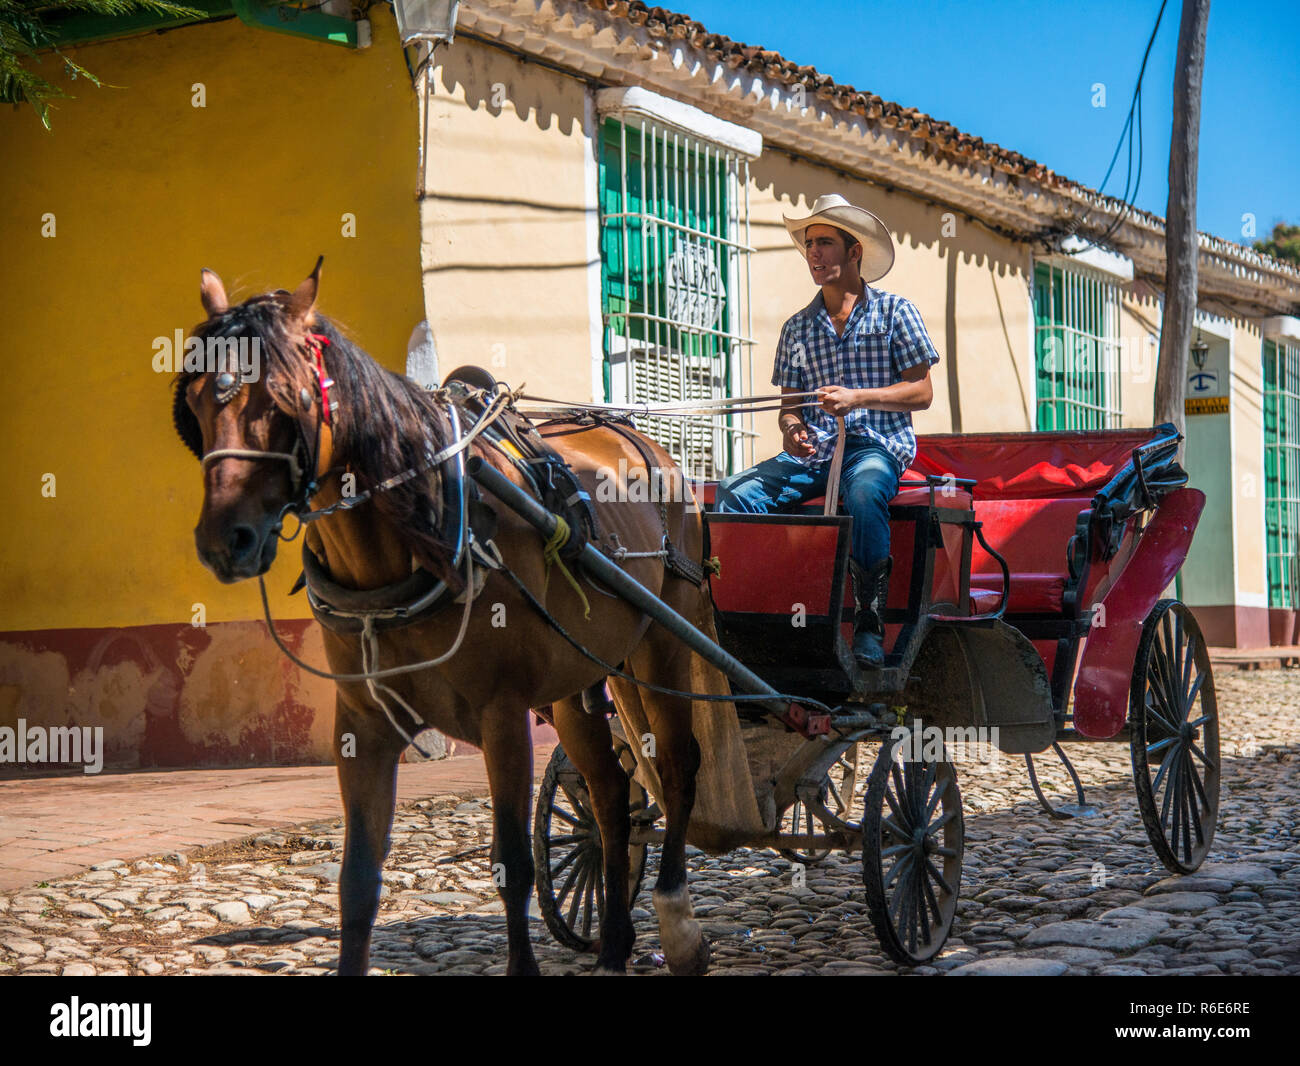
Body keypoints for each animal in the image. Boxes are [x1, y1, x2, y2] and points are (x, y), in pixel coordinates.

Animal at [171, 260, 712, 972]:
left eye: (284, 401)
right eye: (196, 403)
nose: (224, 541)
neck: (419, 539)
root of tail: (653, 446)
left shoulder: (503, 715)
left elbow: (513, 865)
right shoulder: (363, 725)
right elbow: (358, 881)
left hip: (663, 645)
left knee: (677, 769)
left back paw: (678, 921)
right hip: (580, 681)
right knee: (609, 797)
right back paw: (616, 944)